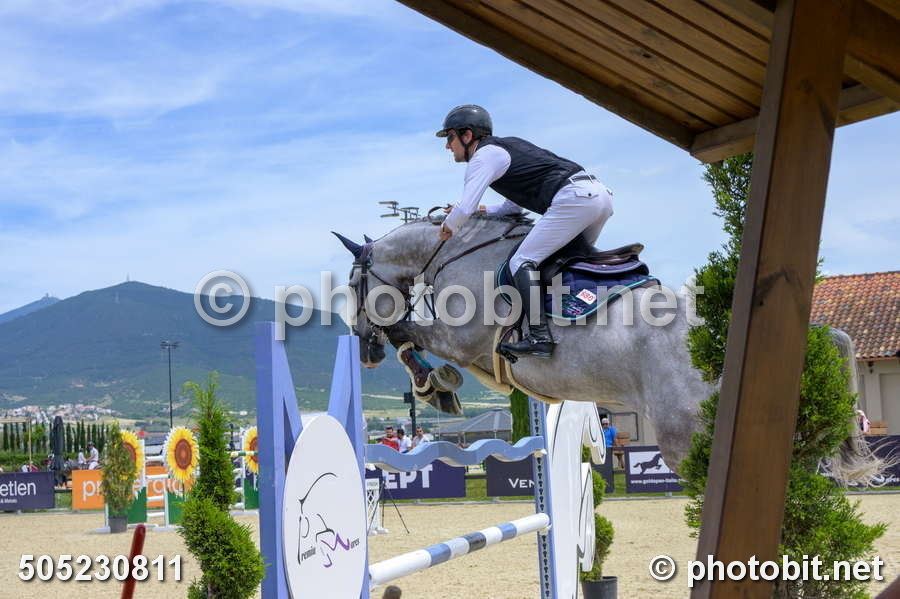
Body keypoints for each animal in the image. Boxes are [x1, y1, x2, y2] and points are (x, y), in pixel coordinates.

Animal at [335, 214, 879, 483]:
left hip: (686, 436)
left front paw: (436, 385)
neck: (453, 250)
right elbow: (409, 333)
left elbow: (407, 331)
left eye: (354, 283)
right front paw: (437, 384)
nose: (363, 350)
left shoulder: (462, 337)